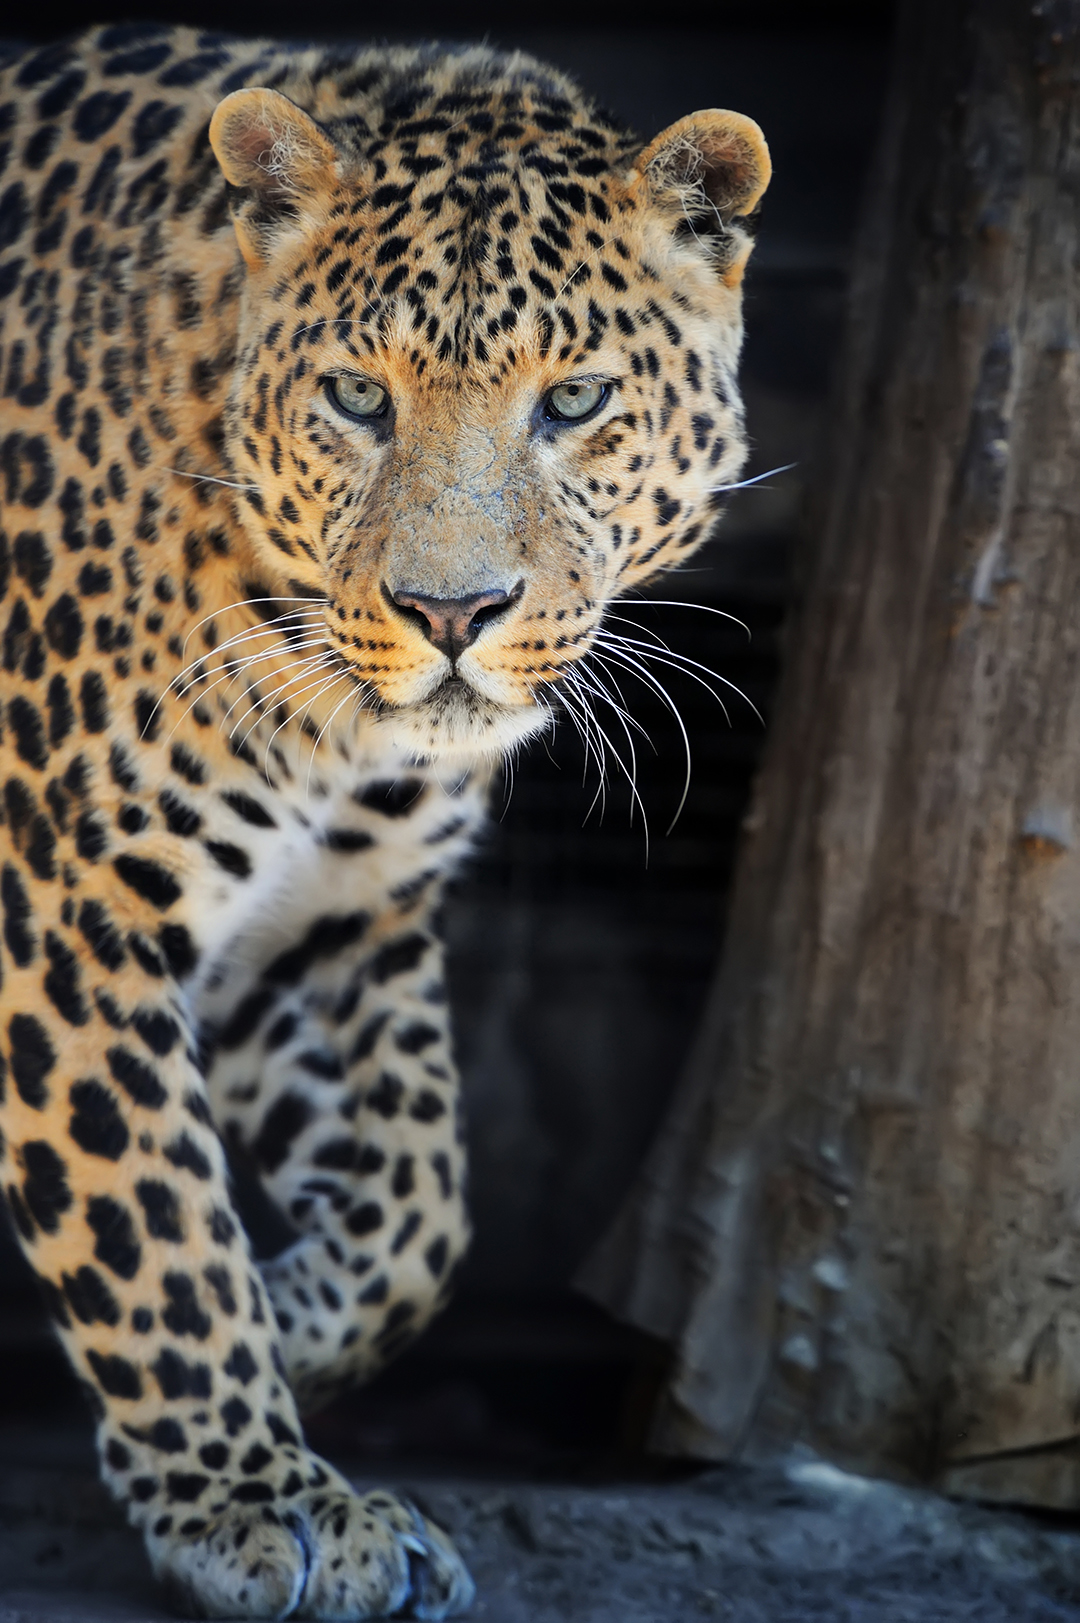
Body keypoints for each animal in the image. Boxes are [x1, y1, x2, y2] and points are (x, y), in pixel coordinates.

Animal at [0, 21, 770, 1619]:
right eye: (359, 399)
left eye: (573, 402)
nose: (452, 611)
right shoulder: (62, 908)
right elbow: (151, 1221)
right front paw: (254, 1498)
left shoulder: (336, 919)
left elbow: (421, 1206)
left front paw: (290, 1325)